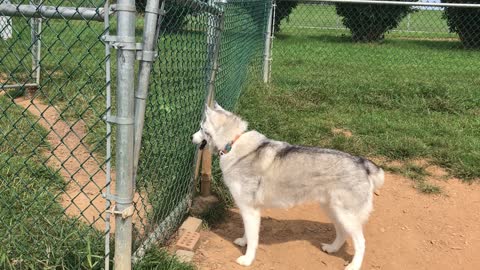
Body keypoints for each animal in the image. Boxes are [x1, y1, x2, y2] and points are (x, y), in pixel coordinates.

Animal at [191, 102, 382, 268]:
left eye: (201, 128)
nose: (191, 137)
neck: (234, 142)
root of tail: (362, 163)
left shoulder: (249, 209)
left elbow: (253, 239)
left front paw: (247, 259)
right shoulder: (250, 210)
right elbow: (248, 233)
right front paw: (243, 242)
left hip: (346, 215)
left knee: (361, 242)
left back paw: (354, 266)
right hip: (333, 211)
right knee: (342, 233)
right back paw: (332, 248)